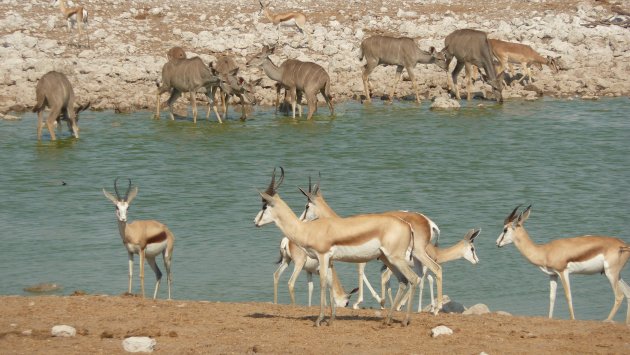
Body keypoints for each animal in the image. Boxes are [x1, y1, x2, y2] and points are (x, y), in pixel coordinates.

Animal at [256, 168, 424, 326]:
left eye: (264, 207)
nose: (255, 222)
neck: (308, 229)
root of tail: (407, 225)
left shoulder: (323, 257)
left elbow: (323, 283)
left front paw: (319, 320)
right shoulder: (330, 260)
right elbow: (331, 284)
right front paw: (331, 319)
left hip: (395, 259)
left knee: (413, 278)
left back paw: (405, 320)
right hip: (387, 259)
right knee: (403, 281)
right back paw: (388, 319)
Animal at [498, 206, 630, 326]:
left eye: (505, 229)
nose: (497, 243)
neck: (545, 251)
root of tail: (623, 245)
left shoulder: (563, 272)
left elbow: (568, 295)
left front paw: (573, 319)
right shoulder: (553, 275)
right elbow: (552, 297)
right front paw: (550, 318)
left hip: (610, 273)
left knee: (619, 296)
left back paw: (606, 321)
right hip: (616, 274)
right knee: (628, 292)